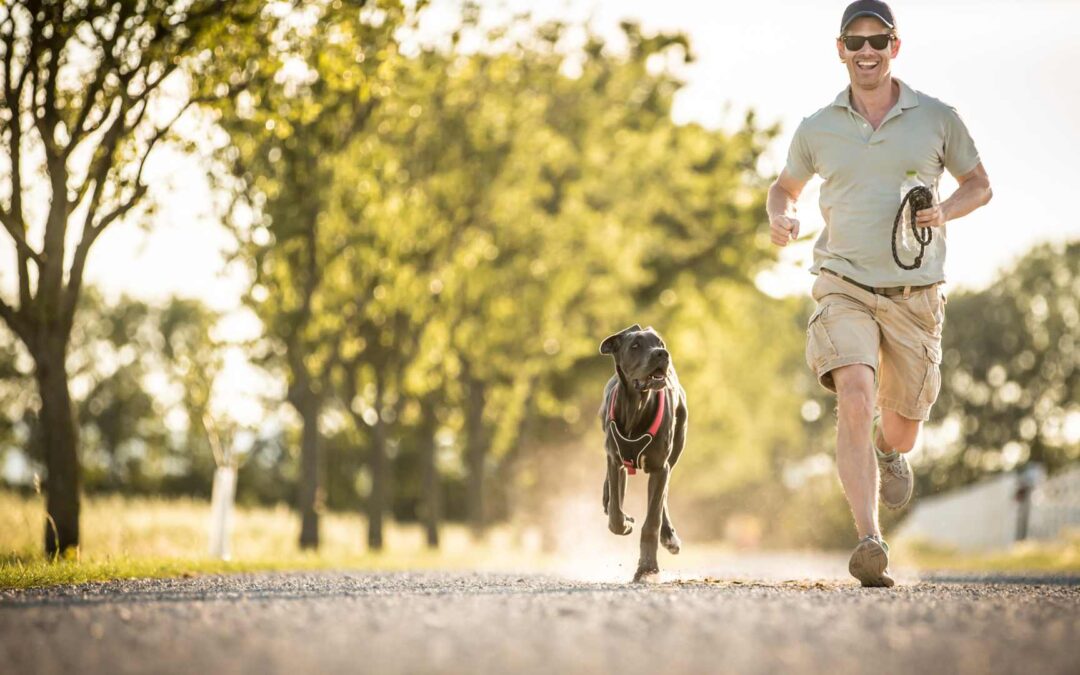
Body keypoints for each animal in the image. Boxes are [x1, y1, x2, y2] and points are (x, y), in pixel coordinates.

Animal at [600, 321, 682, 578]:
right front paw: (624, 523)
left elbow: (652, 520)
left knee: (663, 498)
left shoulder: (659, 467)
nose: (662, 354)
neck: (637, 405)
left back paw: (669, 538)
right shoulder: (615, 459)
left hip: (676, 449)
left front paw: (647, 568)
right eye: (635, 346)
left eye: (660, 343)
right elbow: (615, 514)